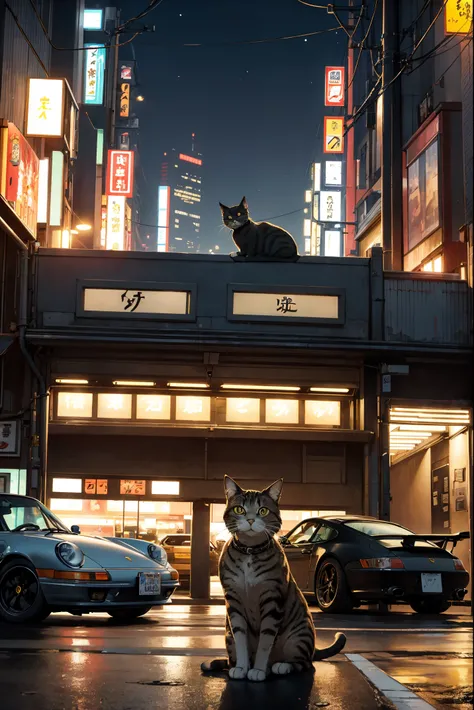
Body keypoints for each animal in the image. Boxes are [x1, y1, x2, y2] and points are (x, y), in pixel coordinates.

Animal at [200, 478, 344, 684]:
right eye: (240, 510)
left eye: (263, 511)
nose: (250, 520)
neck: (250, 553)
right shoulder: (233, 602)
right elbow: (241, 639)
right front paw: (242, 667)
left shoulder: (272, 600)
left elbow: (265, 642)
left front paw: (259, 670)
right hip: (227, 635)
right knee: (230, 657)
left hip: (298, 636)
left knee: (304, 663)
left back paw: (279, 666)